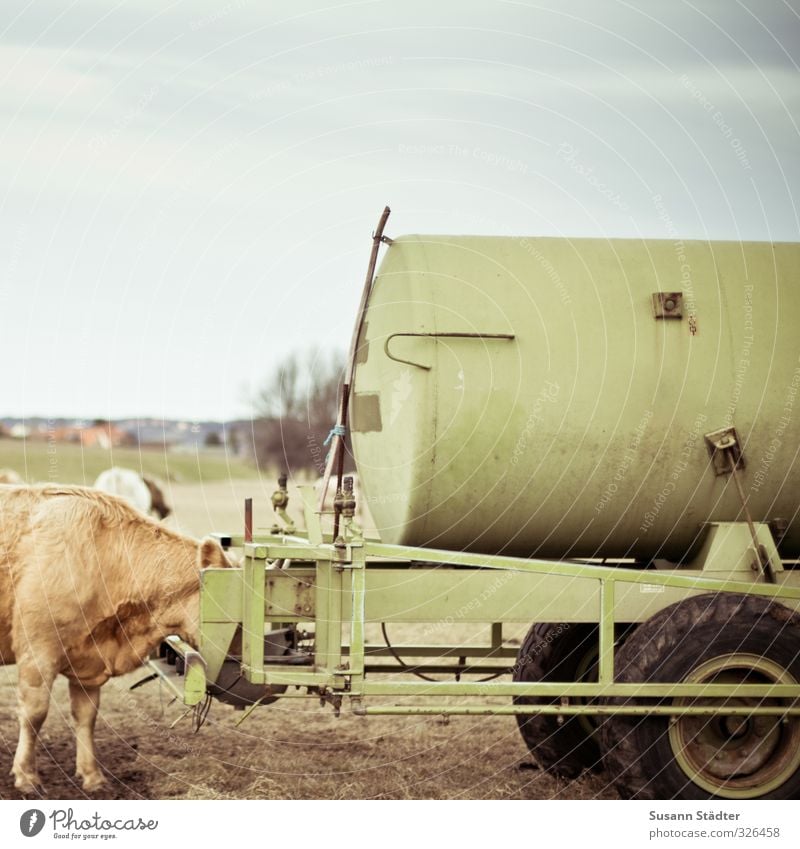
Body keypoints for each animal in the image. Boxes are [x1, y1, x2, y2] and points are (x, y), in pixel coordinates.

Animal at [0, 484, 231, 796]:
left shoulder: (88, 665)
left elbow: (86, 716)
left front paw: (92, 776)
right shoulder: (38, 653)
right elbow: (35, 714)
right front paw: (26, 775)